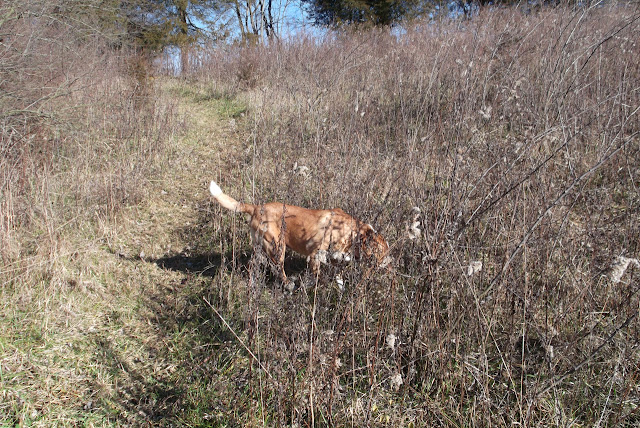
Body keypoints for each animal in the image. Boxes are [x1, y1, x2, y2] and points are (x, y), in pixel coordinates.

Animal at [209, 180, 389, 285]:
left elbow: (338, 278)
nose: (389, 264)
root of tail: (256, 208)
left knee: (252, 266)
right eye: (381, 253)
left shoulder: (336, 261)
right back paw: (288, 285)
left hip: (261, 250)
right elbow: (319, 278)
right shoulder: (315, 257)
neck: (353, 233)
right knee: (279, 271)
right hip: (277, 249)